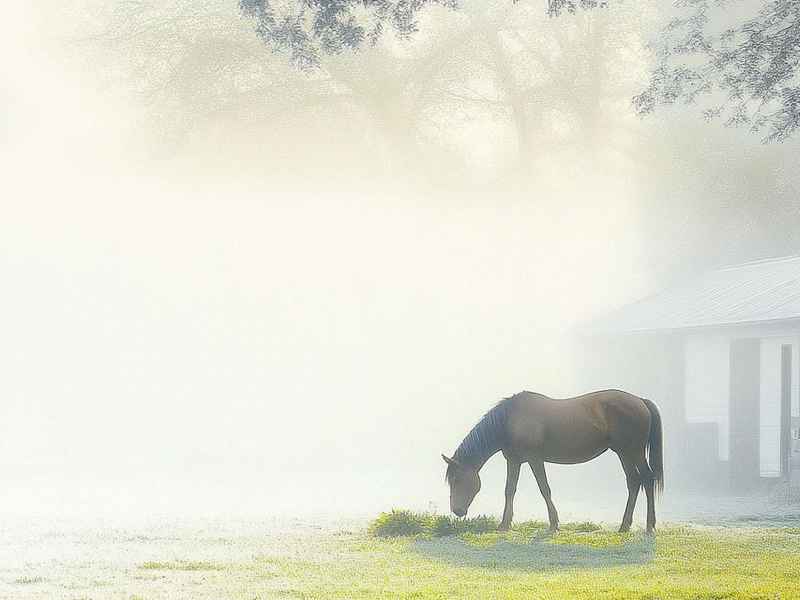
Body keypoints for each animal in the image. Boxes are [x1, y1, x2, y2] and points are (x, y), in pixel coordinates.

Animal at [442, 389, 663, 534]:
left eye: (457, 479)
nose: (457, 511)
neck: (511, 420)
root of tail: (641, 401)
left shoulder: (535, 459)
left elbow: (544, 489)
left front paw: (554, 524)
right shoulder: (514, 461)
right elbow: (509, 490)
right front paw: (504, 524)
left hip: (633, 452)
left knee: (647, 479)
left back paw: (649, 526)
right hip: (624, 453)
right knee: (634, 482)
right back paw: (624, 526)